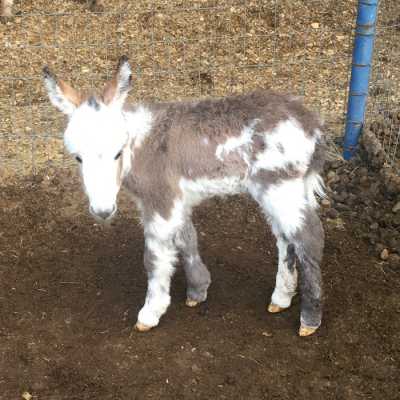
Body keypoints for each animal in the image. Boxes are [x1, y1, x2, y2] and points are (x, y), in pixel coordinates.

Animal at [43, 57, 324, 338]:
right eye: (78, 158)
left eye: (117, 153)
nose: (102, 211)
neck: (139, 147)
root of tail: (309, 121)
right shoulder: (178, 200)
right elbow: (187, 238)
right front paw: (198, 290)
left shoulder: (160, 201)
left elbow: (154, 257)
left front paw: (150, 312)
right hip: (278, 190)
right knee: (285, 238)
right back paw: (281, 299)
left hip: (280, 186)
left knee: (309, 237)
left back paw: (309, 320)